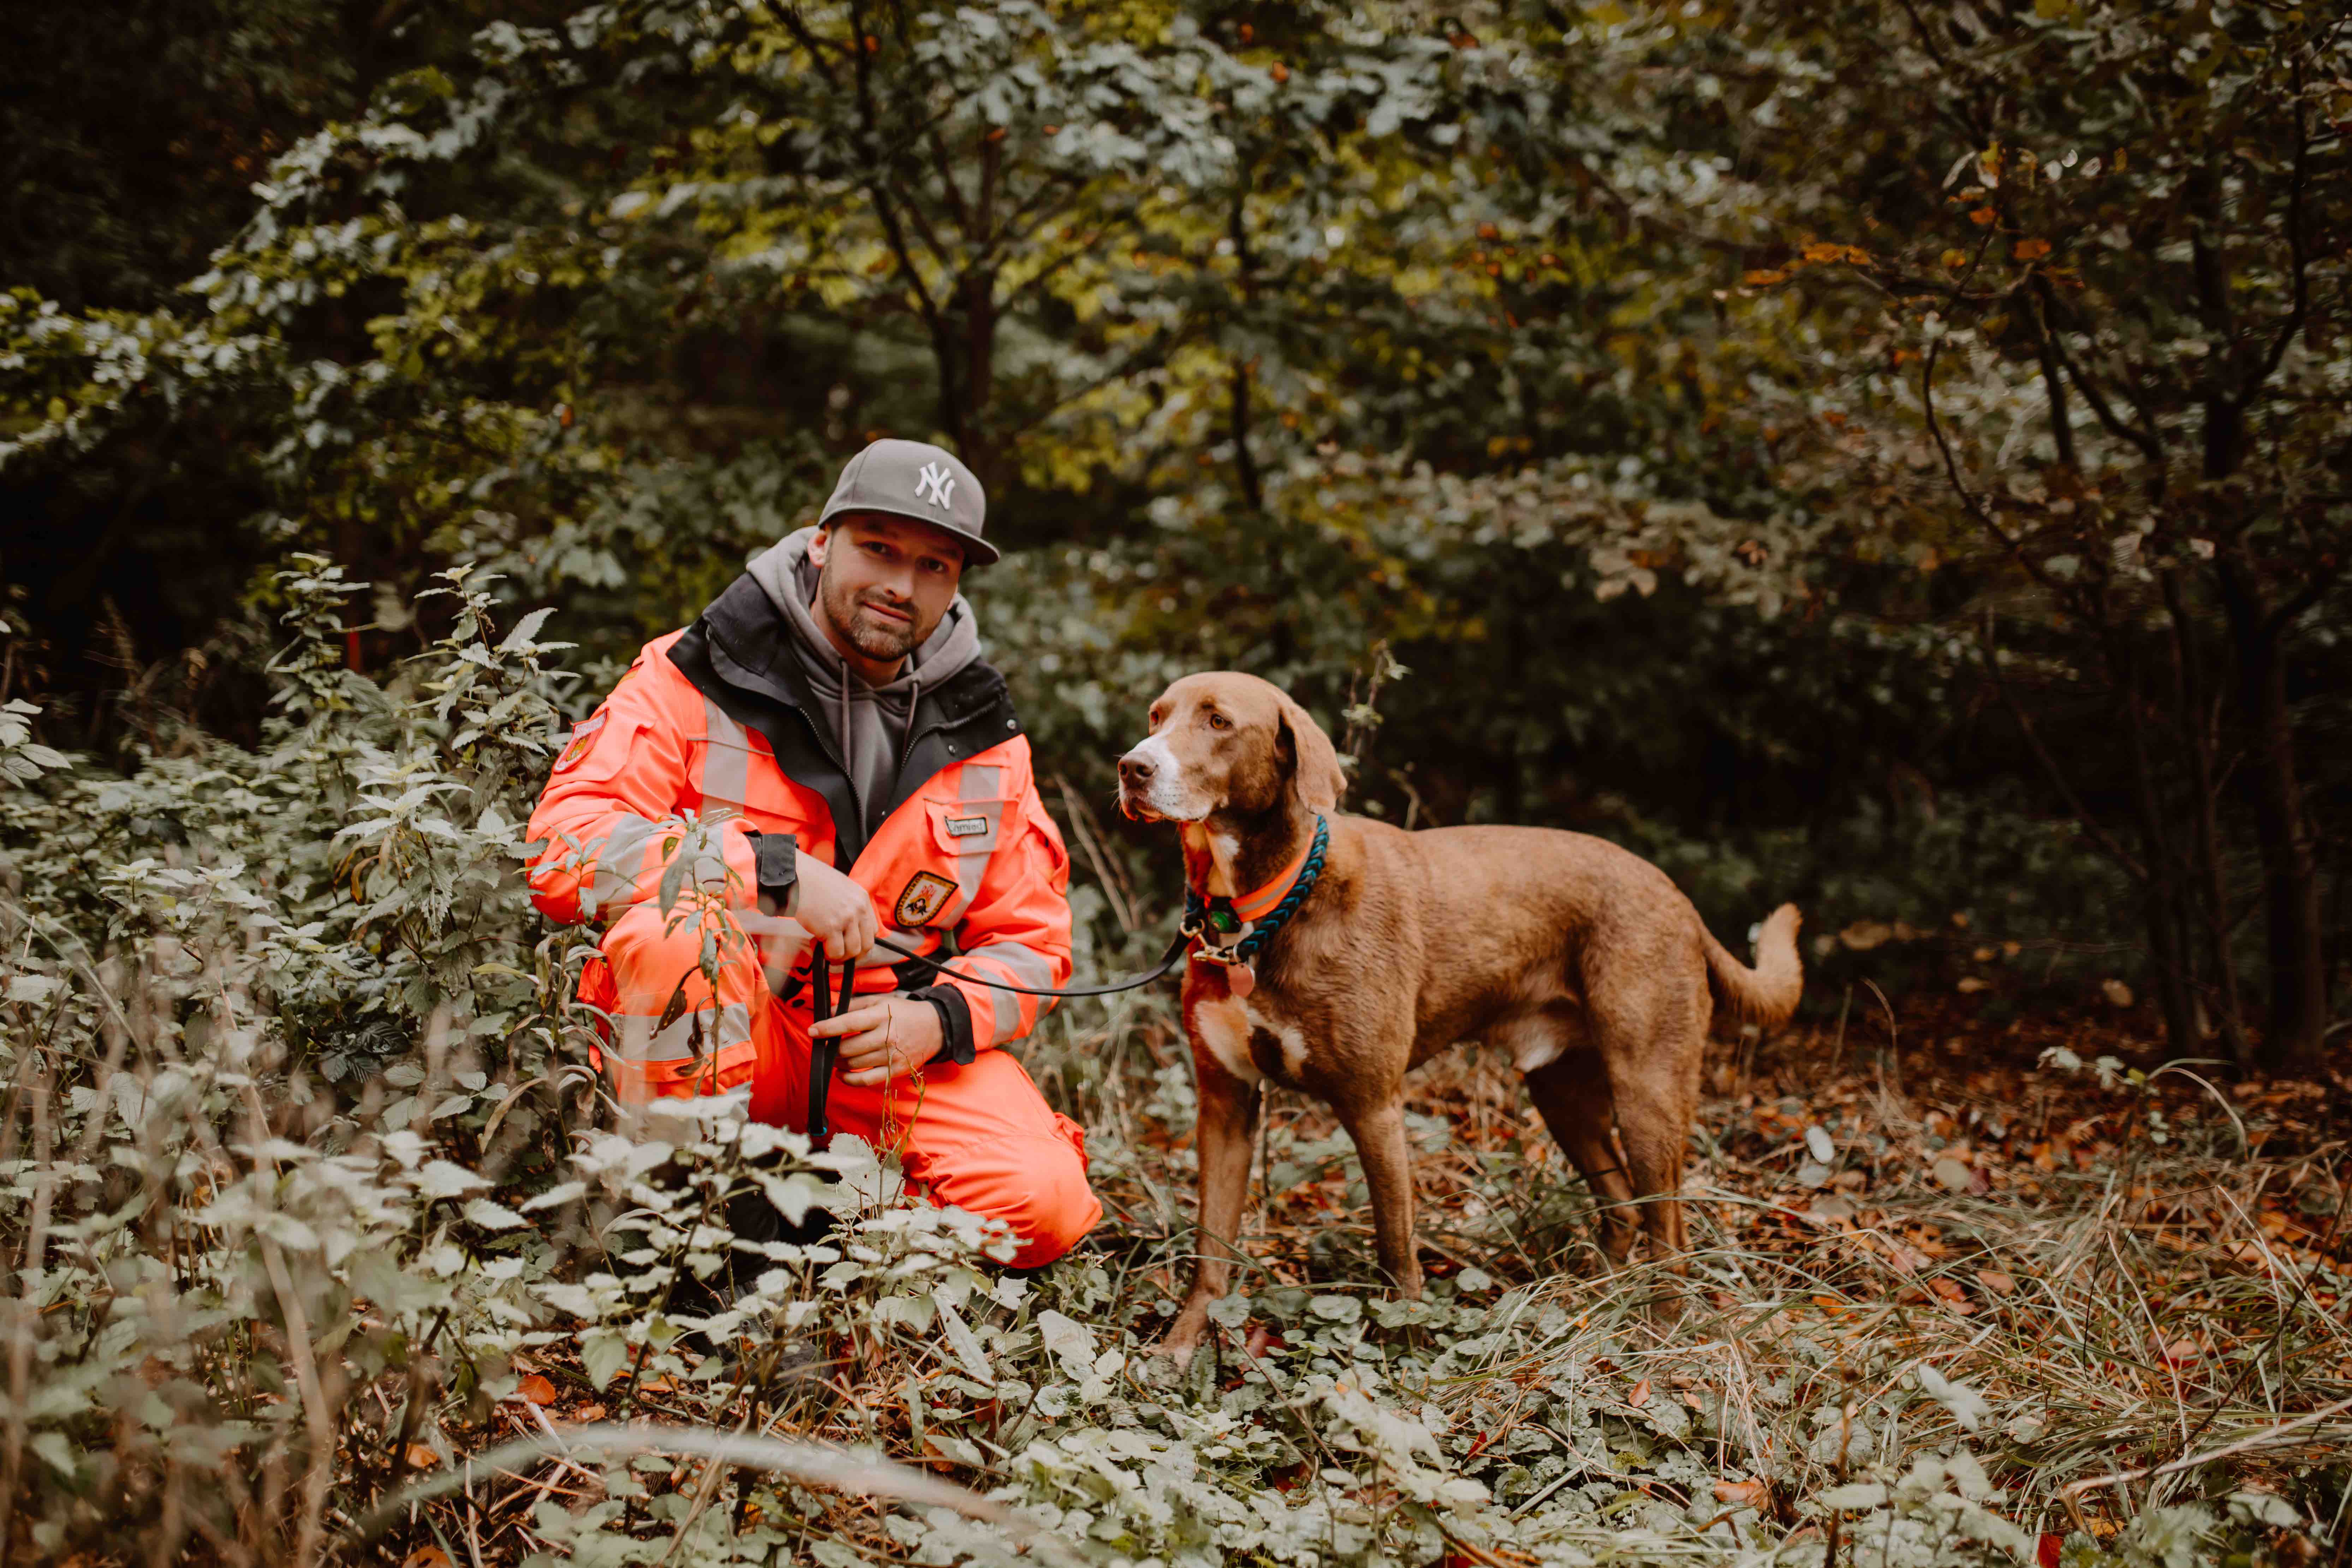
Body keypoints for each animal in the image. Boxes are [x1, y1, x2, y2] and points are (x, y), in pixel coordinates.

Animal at [1119, 672, 1797, 1363]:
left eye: (1219, 722)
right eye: (1156, 716)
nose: (1132, 767)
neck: (1260, 913)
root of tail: (1680, 899)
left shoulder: (1373, 1105)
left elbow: (1396, 1251)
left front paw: (1404, 1354)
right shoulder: (1224, 1104)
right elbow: (1210, 1249)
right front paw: (1181, 1345)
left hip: (1647, 1092)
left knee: (1669, 1229)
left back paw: (1659, 1334)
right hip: (1562, 1094)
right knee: (1622, 1208)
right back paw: (1597, 1310)